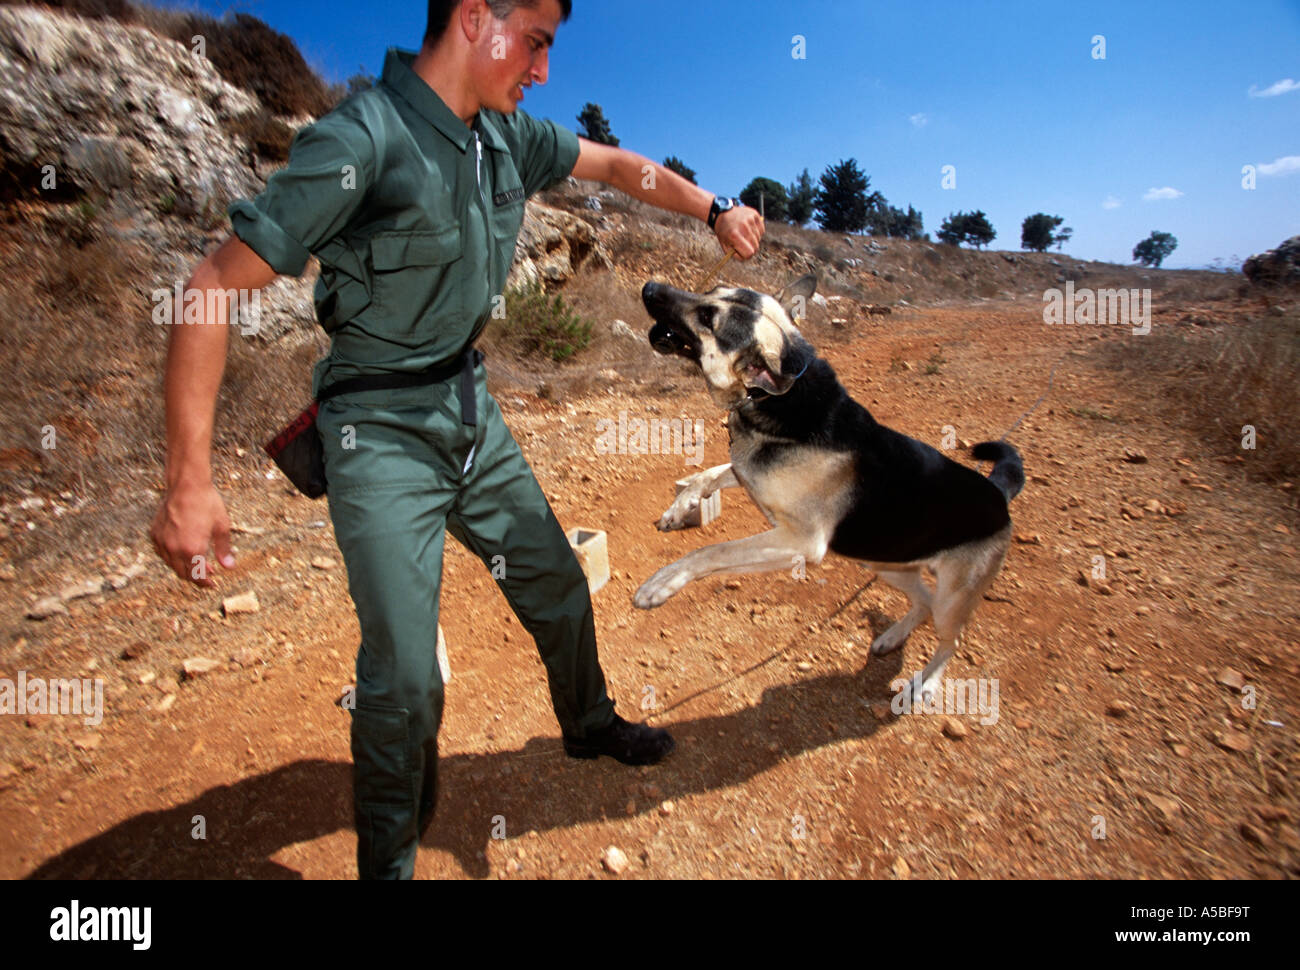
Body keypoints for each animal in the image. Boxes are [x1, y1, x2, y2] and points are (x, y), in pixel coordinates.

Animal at [631, 271, 1024, 702]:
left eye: (707, 317)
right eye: (713, 290)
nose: (649, 287)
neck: (772, 397)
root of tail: (998, 494)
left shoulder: (801, 542)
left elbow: (710, 551)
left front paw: (663, 582)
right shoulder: (750, 476)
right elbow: (709, 474)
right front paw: (679, 507)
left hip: (951, 598)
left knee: (951, 639)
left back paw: (927, 682)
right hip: (885, 562)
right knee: (922, 603)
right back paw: (892, 637)